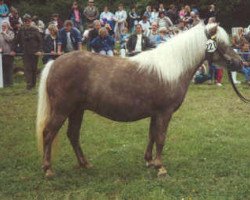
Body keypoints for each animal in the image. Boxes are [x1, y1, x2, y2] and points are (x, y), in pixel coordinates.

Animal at [36, 22, 242, 177]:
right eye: (222, 43)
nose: (240, 63)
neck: (171, 68)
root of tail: (54, 62)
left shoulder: (155, 114)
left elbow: (152, 135)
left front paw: (149, 161)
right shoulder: (164, 113)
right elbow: (161, 137)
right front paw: (160, 167)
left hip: (77, 110)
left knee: (73, 135)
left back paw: (84, 164)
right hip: (62, 110)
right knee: (48, 133)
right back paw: (48, 169)